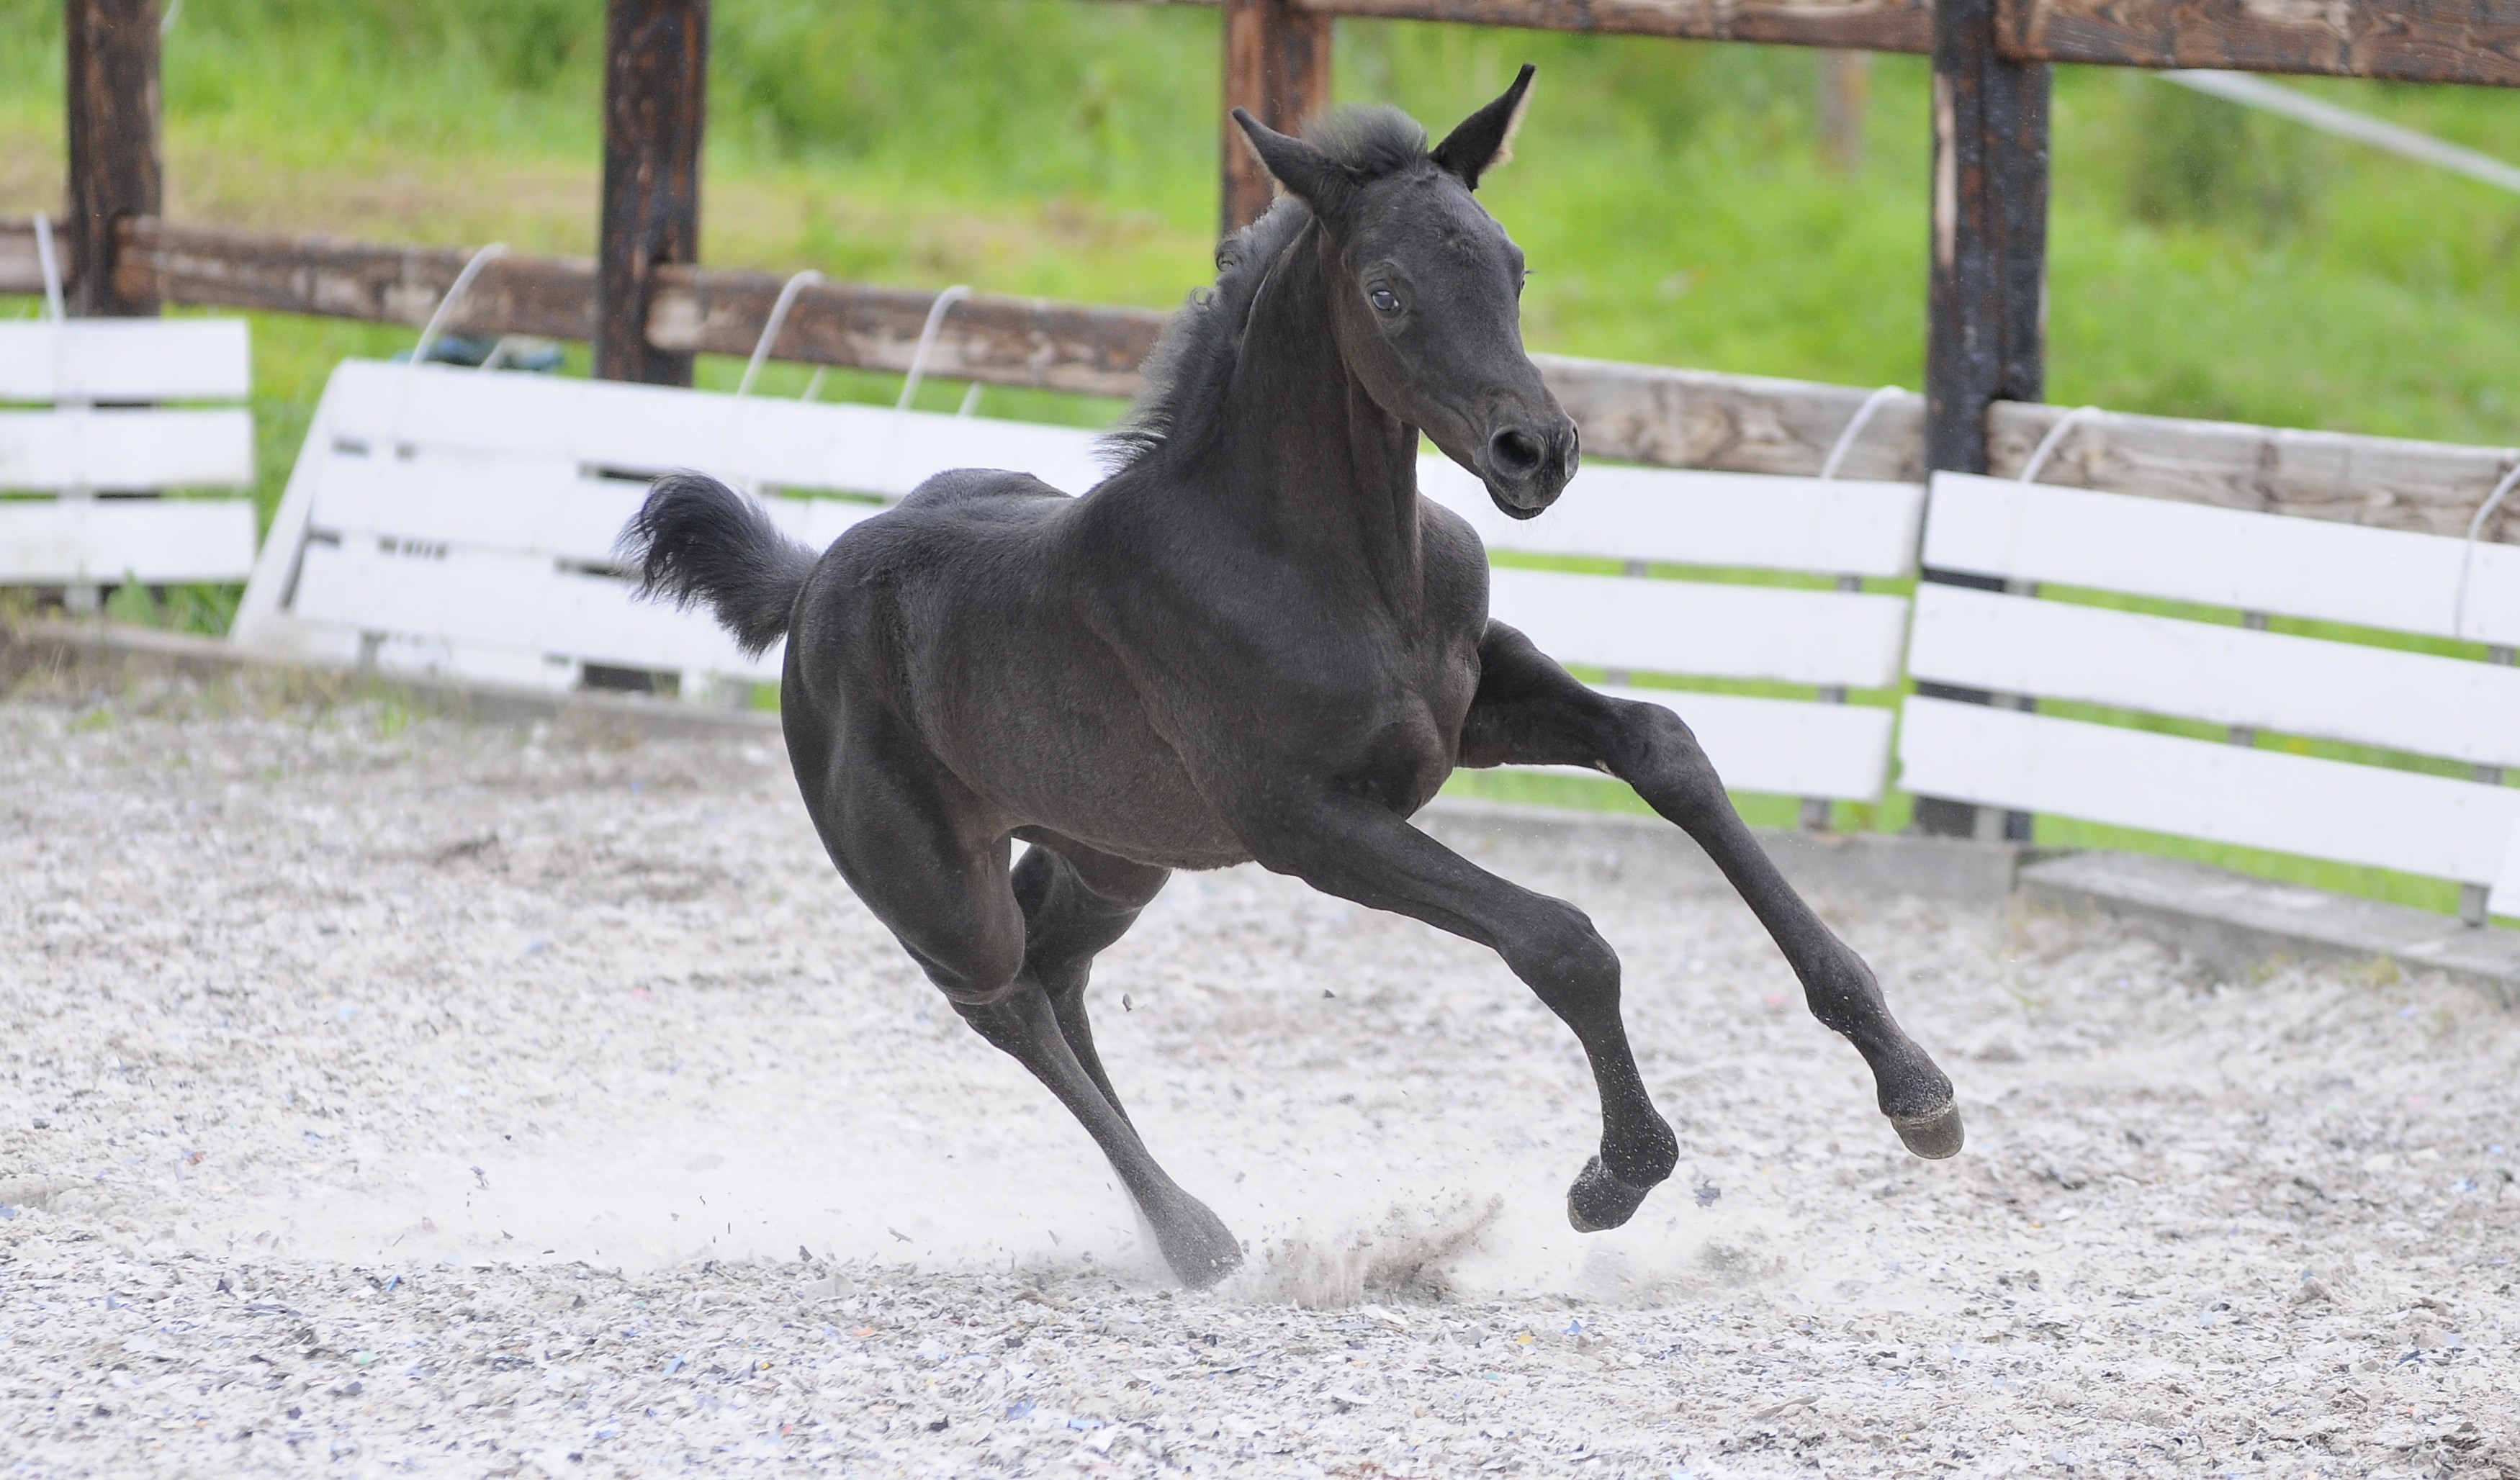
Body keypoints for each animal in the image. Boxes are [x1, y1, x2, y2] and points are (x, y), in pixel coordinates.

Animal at [620, 75, 1956, 1291]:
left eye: (1514, 270)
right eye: (1388, 292)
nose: (1537, 452)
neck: (1328, 564)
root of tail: (811, 586)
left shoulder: (1472, 709)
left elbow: (1663, 747)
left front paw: (1917, 1089)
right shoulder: (1309, 824)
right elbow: (1562, 941)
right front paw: (1614, 1178)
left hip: (1119, 853)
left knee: (1059, 974)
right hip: (937, 890)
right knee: (1004, 1000)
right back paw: (1196, 1237)